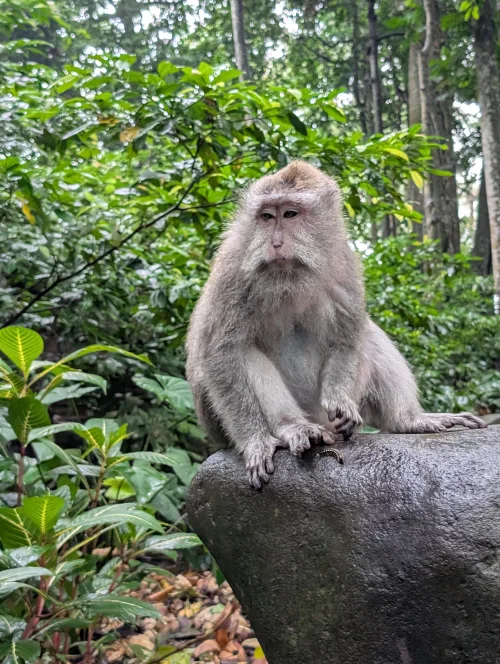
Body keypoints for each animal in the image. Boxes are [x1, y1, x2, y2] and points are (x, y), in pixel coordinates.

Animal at [186, 161, 486, 489]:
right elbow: (220, 353)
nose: (275, 243)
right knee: (244, 353)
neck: (289, 277)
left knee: (368, 333)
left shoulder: (345, 263)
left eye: (290, 214)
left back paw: (407, 420)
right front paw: (256, 440)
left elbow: (347, 337)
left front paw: (341, 401)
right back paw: (293, 427)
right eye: (266, 216)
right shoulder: (232, 270)